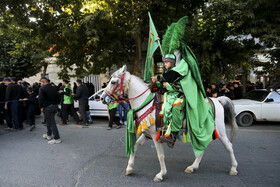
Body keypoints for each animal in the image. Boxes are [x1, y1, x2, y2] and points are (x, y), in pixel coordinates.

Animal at [100, 65, 238, 181]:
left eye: (113, 82)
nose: (102, 98)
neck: (147, 103)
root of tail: (216, 100)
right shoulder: (146, 134)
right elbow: (135, 147)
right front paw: (129, 168)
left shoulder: (155, 136)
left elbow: (160, 156)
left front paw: (161, 174)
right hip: (198, 131)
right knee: (202, 147)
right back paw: (192, 167)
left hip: (219, 130)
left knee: (229, 146)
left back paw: (233, 168)